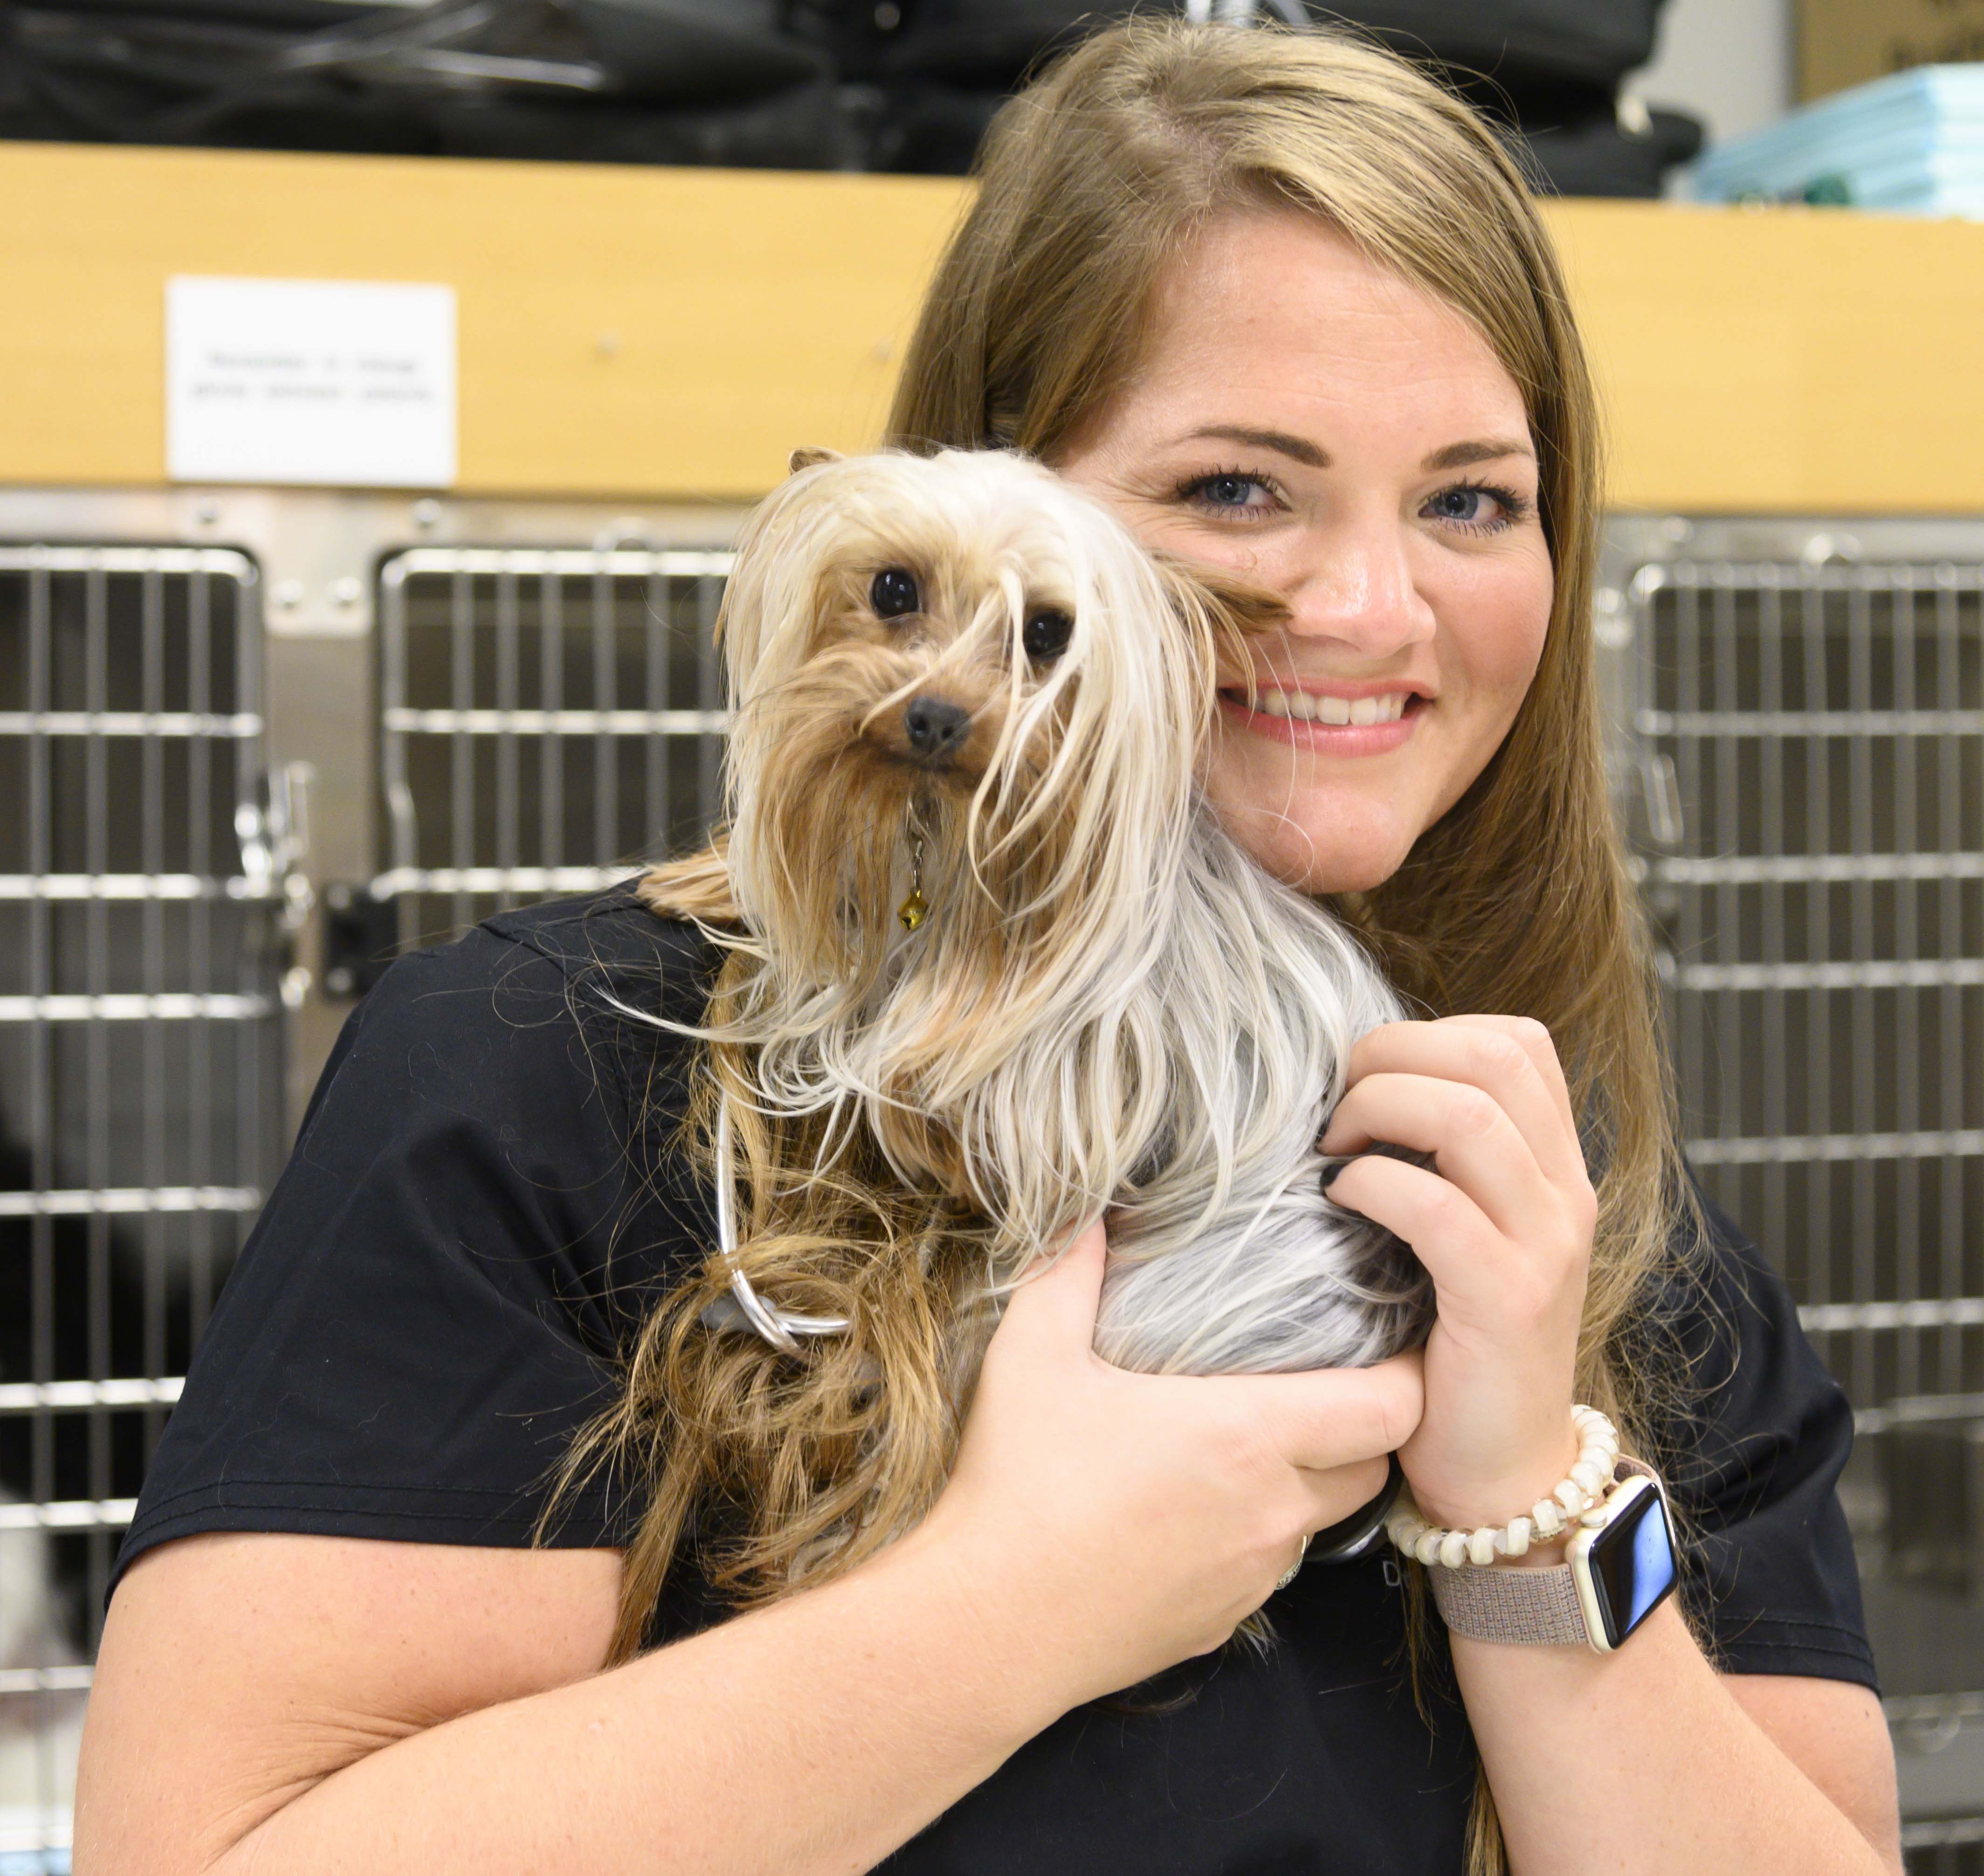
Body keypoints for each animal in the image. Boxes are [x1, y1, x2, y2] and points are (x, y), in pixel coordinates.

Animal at [642, 441, 1436, 1373]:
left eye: (1049, 633)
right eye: (894, 589)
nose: (934, 717)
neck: (942, 821)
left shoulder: (1056, 1091)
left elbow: (922, 1068)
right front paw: (703, 879)